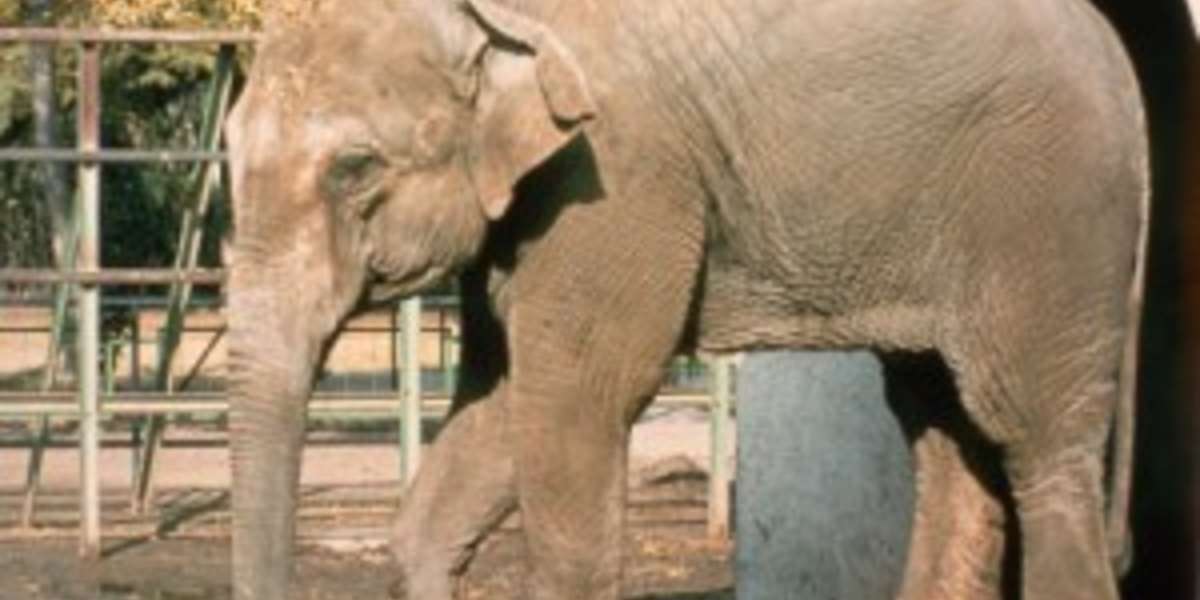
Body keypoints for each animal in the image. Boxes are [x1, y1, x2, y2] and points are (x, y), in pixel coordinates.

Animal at [222, 0, 1148, 599]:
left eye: (354, 169)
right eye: (225, 151)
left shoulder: (616, 176)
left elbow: (575, 400)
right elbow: (498, 409)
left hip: (1047, 209)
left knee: (1033, 438)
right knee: (945, 430)